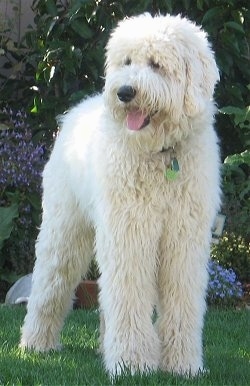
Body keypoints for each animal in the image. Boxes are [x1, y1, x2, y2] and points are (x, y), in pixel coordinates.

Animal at [21, 12, 221, 376]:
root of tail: (74, 111)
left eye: (156, 64)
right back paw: (36, 343)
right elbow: (128, 294)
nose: (125, 92)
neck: (161, 155)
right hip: (65, 230)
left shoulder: (184, 240)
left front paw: (183, 364)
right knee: (51, 284)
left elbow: (182, 299)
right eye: (126, 61)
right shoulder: (129, 233)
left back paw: (102, 344)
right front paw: (132, 362)